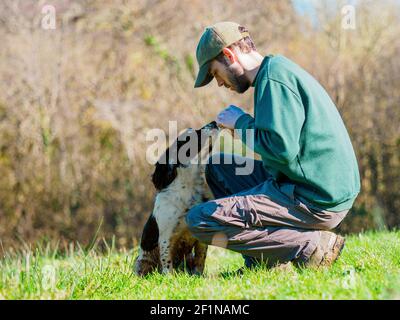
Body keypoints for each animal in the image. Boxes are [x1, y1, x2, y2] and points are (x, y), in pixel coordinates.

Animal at [136, 120, 220, 276]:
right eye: (190, 134)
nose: (214, 122)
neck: (190, 190)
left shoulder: (201, 236)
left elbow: (200, 258)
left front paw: (198, 276)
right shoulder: (166, 237)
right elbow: (166, 260)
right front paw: (169, 277)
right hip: (141, 263)